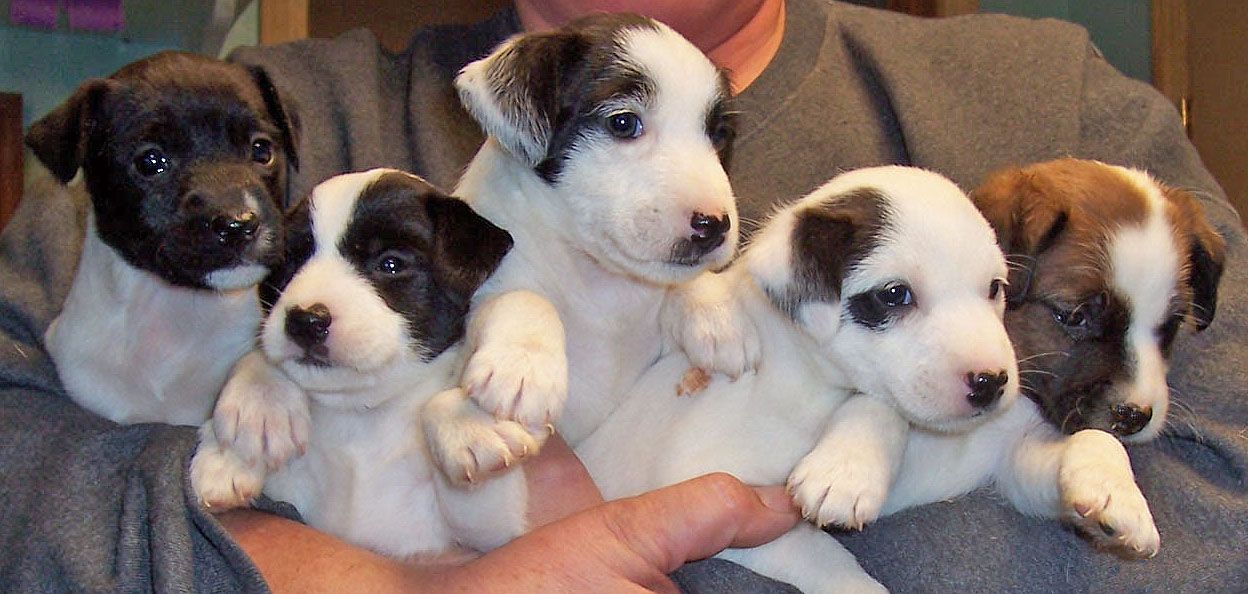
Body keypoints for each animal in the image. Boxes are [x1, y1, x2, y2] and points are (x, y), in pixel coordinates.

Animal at [192, 169, 534, 559]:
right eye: (291, 265)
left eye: (391, 264)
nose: (305, 320)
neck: (360, 416)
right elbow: (261, 362)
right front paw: (238, 436)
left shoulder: (490, 532)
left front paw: (470, 428)